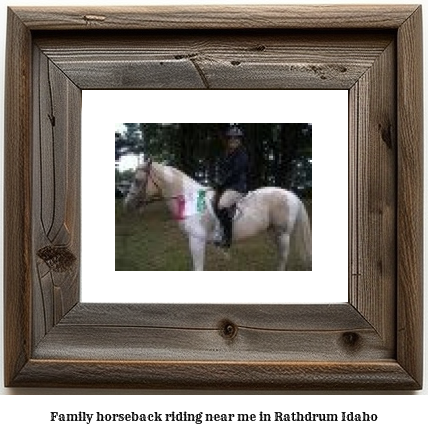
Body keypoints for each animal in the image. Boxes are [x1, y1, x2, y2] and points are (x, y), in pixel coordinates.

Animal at [123, 159, 310, 270]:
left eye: (137, 181)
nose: (127, 205)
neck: (191, 200)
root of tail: (291, 194)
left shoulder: (196, 240)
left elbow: (198, 268)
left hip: (283, 233)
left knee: (283, 256)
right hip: (275, 232)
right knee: (280, 255)